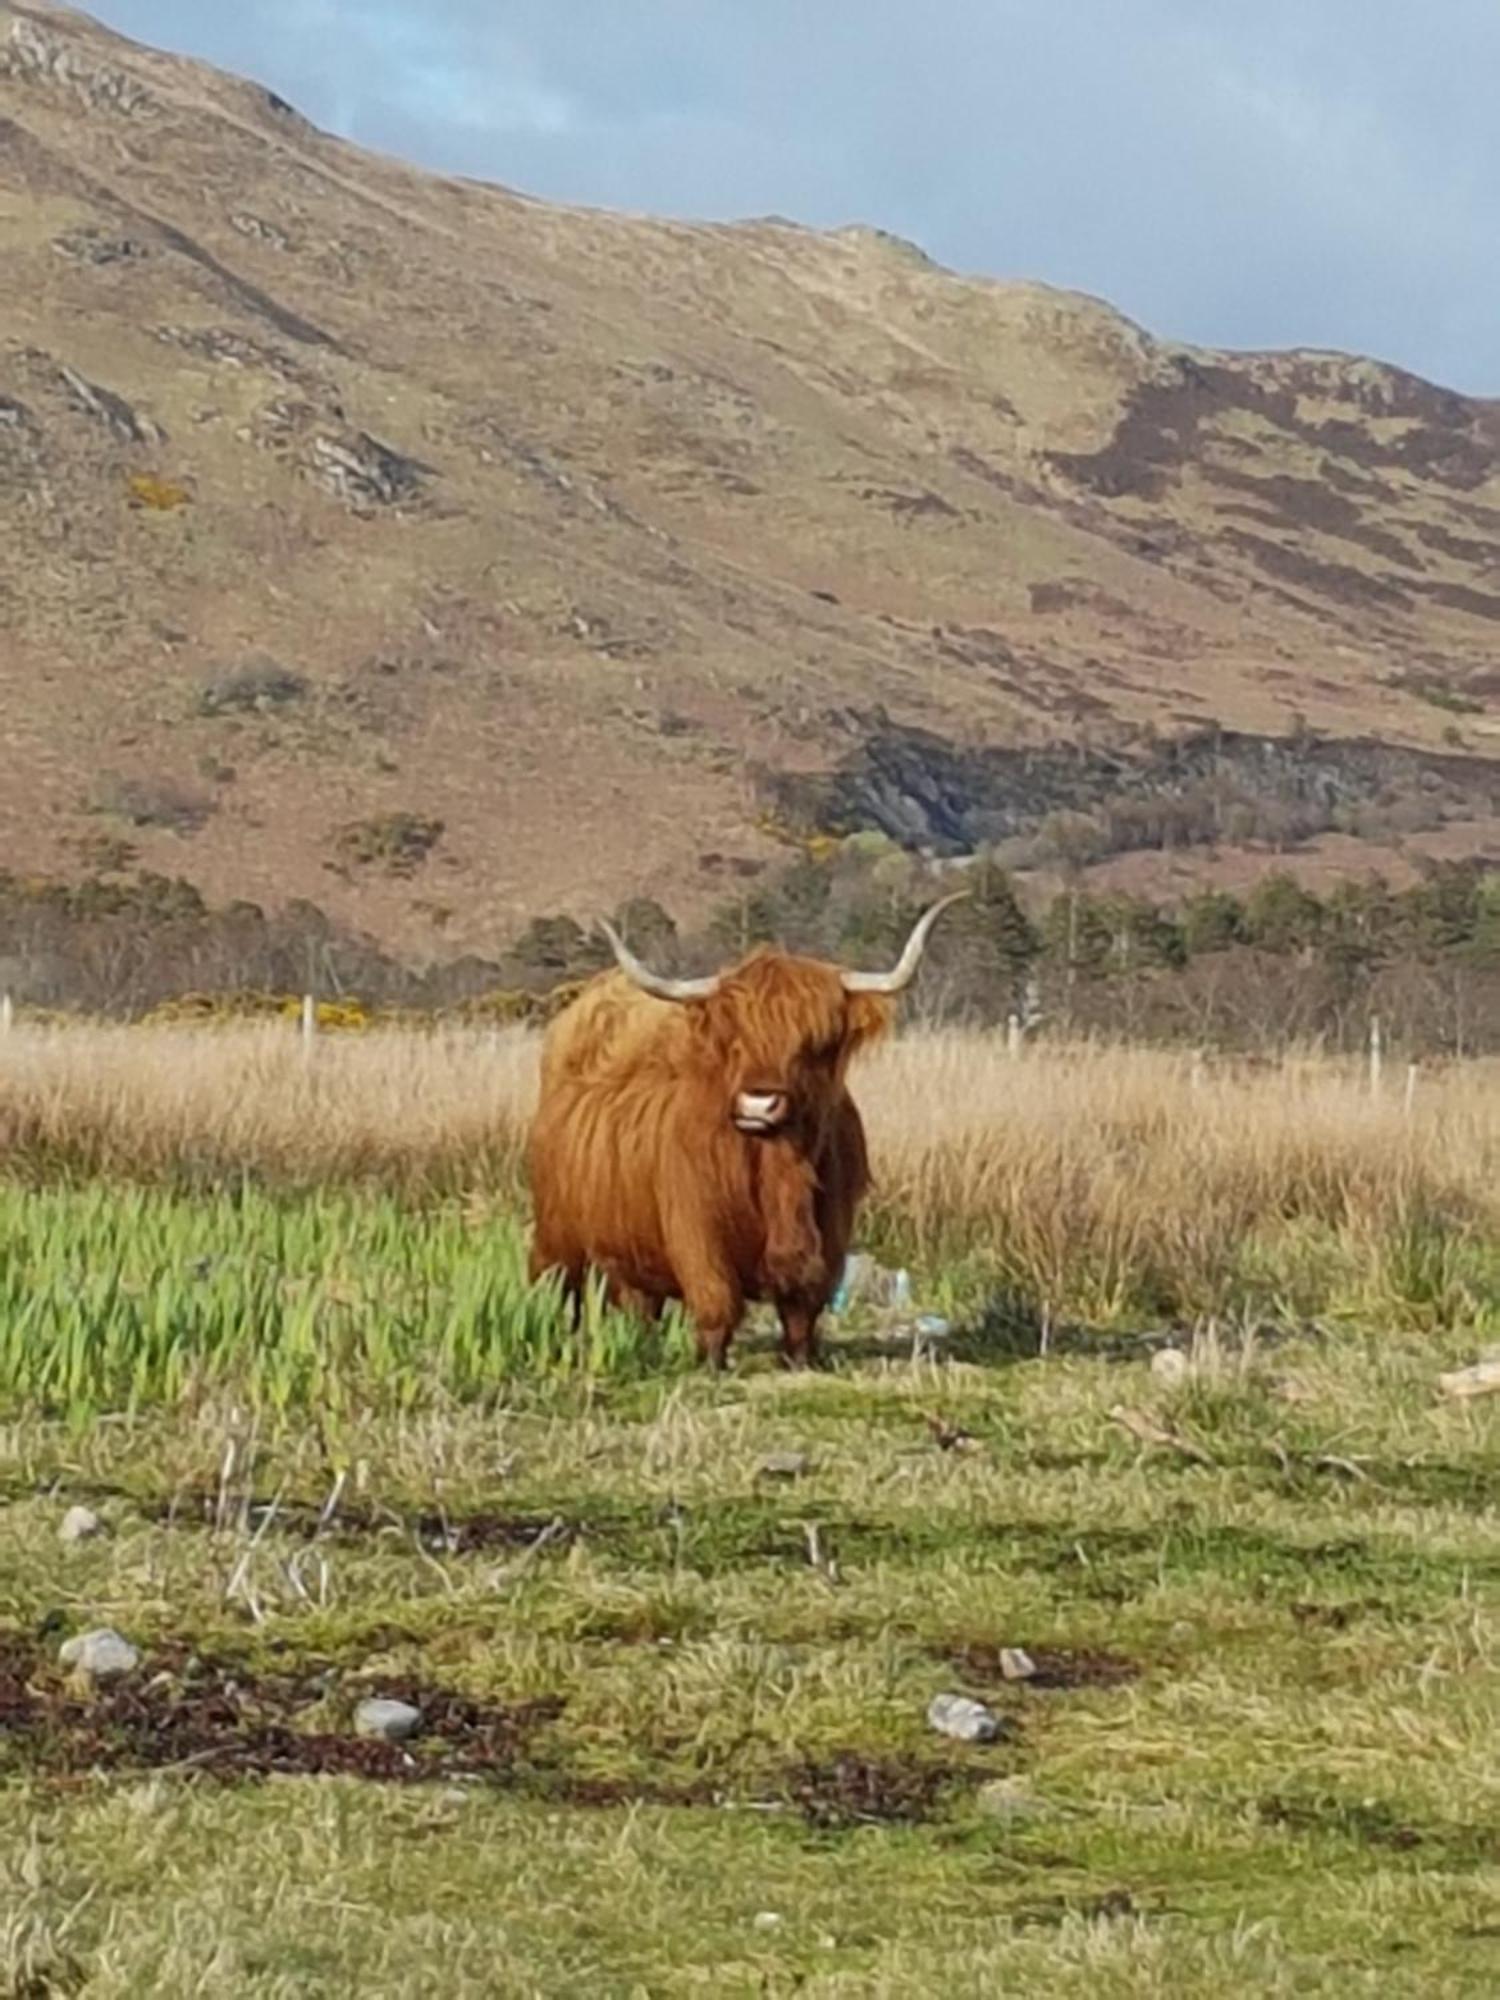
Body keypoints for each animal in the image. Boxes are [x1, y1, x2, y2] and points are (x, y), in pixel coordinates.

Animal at [528, 900, 968, 1368]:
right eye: (734, 1040)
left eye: (816, 1044)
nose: (759, 1103)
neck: (777, 1171)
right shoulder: (696, 1230)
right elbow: (716, 1300)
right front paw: (712, 1364)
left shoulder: (830, 1234)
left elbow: (802, 1309)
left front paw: (799, 1361)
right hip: (556, 1240)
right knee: (552, 1291)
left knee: (638, 1303)